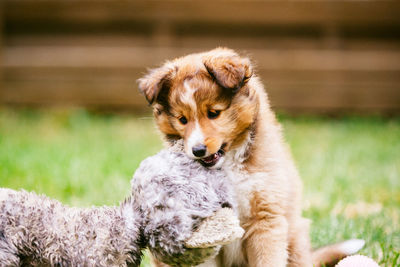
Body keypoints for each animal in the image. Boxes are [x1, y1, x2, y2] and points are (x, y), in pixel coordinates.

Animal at [139, 47, 364, 267]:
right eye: (182, 119)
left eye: (213, 113)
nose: (198, 150)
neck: (227, 166)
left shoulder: (265, 219)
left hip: (295, 238)